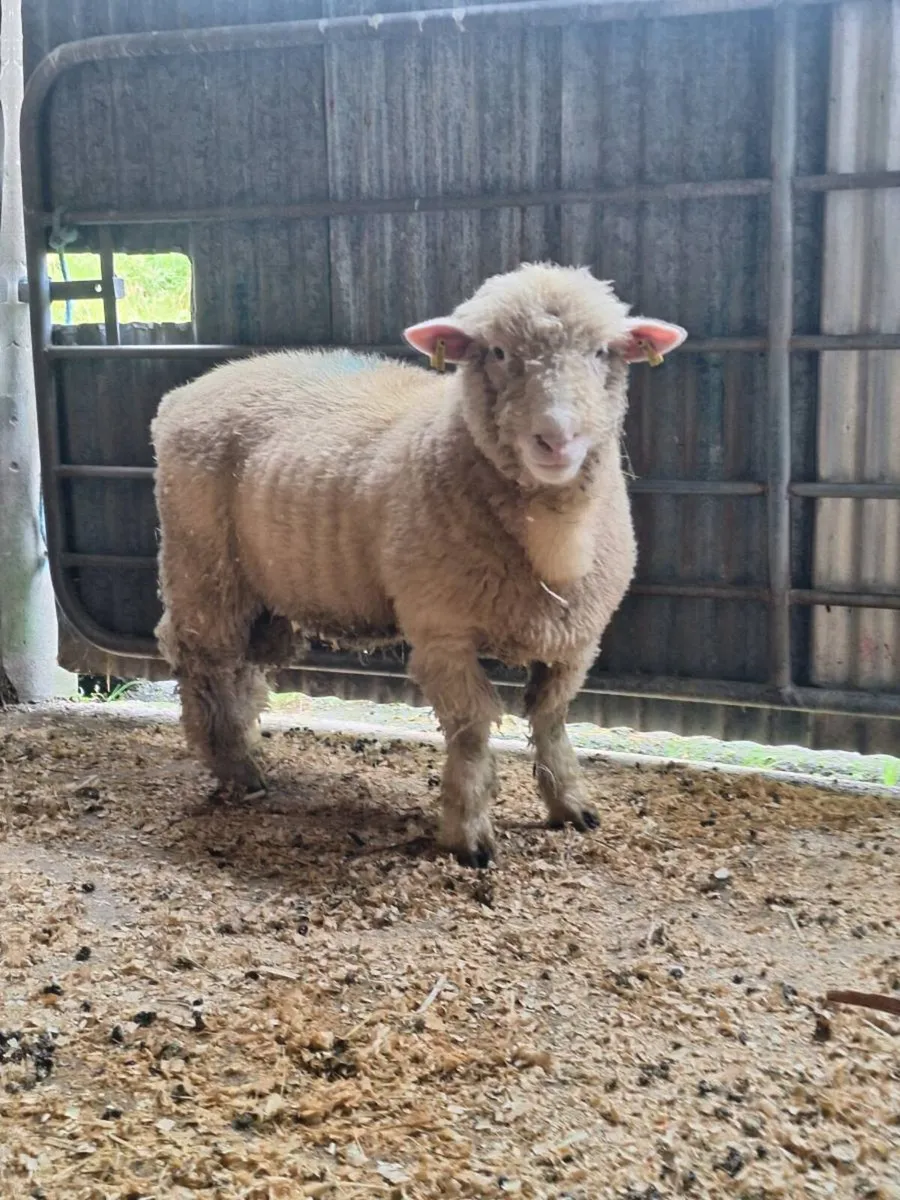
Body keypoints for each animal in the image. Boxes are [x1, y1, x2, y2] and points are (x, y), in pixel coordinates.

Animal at [151, 262, 686, 867]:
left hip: (259, 591)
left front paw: (570, 805)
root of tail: (193, 388)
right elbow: (472, 727)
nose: (556, 438)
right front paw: (468, 833)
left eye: (601, 352)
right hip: (201, 564)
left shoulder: (577, 637)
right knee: (204, 663)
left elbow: (550, 718)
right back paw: (235, 769)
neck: (552, 540)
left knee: (242, 667)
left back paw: (246, 754)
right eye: (498, 351)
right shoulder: (442, 632)